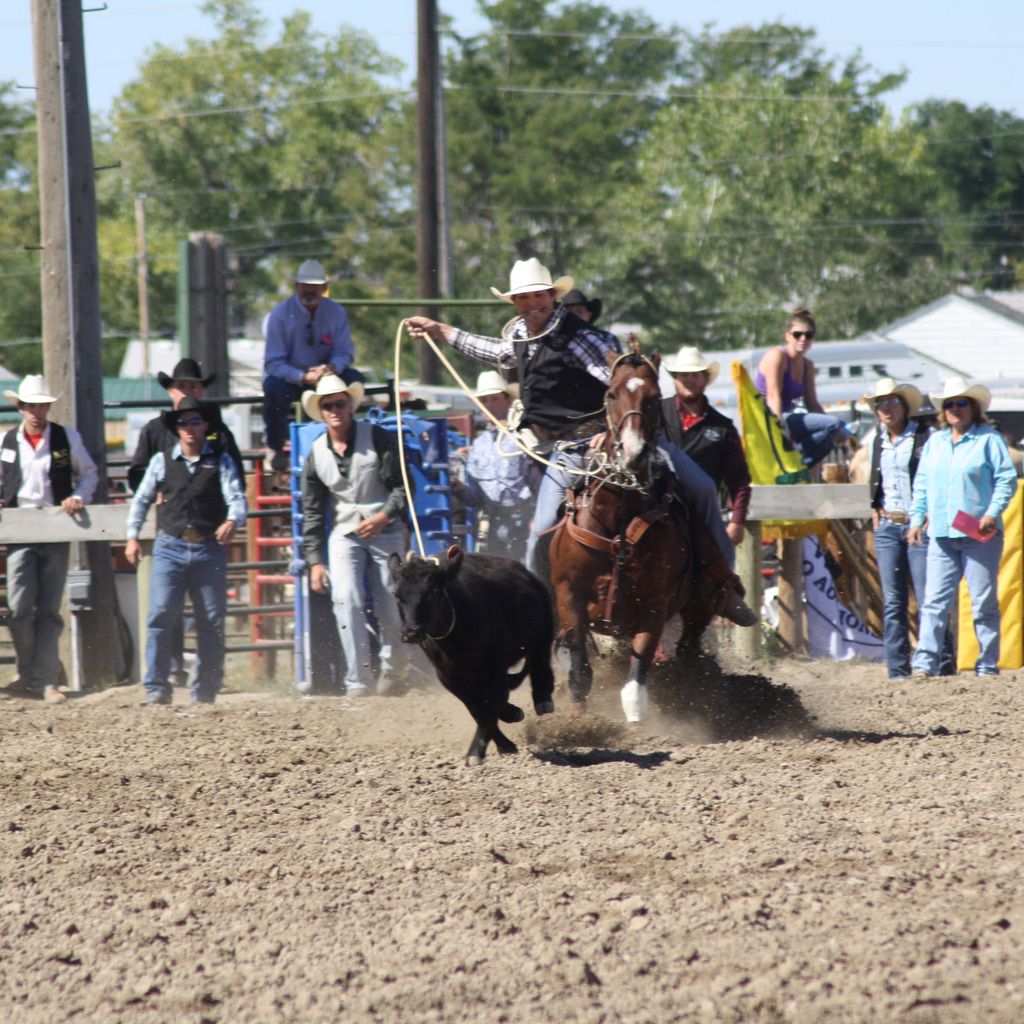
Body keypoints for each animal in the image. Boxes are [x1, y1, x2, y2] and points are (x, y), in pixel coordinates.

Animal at [552, 348, 712, 724]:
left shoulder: (654, 605)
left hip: (698, 607)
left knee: (689, 648)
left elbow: (636, 682)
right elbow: (580, 669)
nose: (633, 453)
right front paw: (577, 723)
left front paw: (637, 724)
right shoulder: (569, 595)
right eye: (611, 394)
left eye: (654, 397)